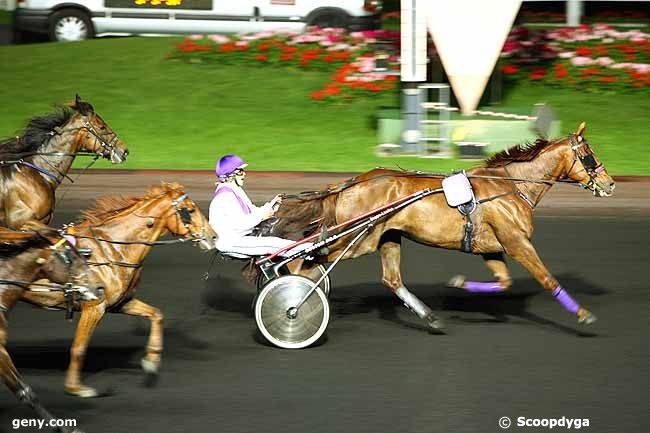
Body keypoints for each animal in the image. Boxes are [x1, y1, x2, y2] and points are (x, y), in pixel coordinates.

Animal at [22, 181, 215, 396]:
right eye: (191, 210)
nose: (213, 236)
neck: (111, 249)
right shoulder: (94, 307)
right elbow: (79, 347)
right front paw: (76, 387)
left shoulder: (121, 303)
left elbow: (157, 315)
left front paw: (151, 360)